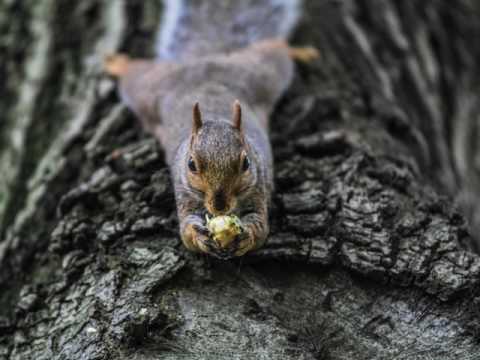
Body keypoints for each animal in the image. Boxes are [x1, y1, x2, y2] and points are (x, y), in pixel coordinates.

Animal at [103, 0, 316, 258]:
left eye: (246, 163)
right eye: (191, 165)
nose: (220, 206)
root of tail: (205, 59)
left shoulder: (258, 187)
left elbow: (260, 227)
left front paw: (246, 236)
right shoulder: (184, 192)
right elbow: (186, 232)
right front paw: (199, 236)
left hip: (261, 72)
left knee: (275, 48)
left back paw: (300, 51)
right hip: (149, 90)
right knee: (134, 74)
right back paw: (118, 63)